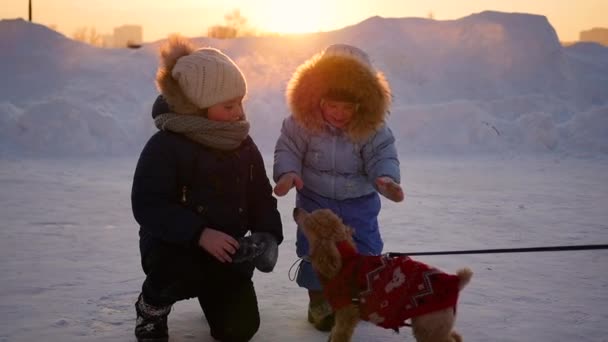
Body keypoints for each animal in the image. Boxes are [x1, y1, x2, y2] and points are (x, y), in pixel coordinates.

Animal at [292, 207, 472, 340]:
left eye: (309, 220)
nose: (295, 209)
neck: (343, 260)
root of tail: (456, 280)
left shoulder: (347, 313)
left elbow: (339, 335)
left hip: (430, 325)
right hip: (432, 323)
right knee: (455, 336)